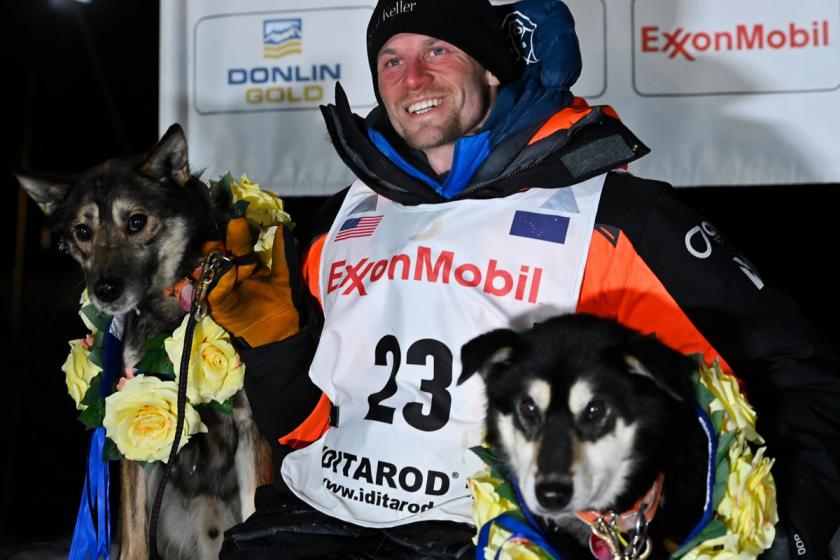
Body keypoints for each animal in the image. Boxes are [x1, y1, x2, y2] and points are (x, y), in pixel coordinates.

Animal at [15, 124, 272, 556]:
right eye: (82, 232)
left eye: (136, 222)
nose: (104, 290)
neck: (177, 305)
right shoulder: (139, 434)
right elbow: (135, 541)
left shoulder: (252, 429)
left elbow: (258, 509)